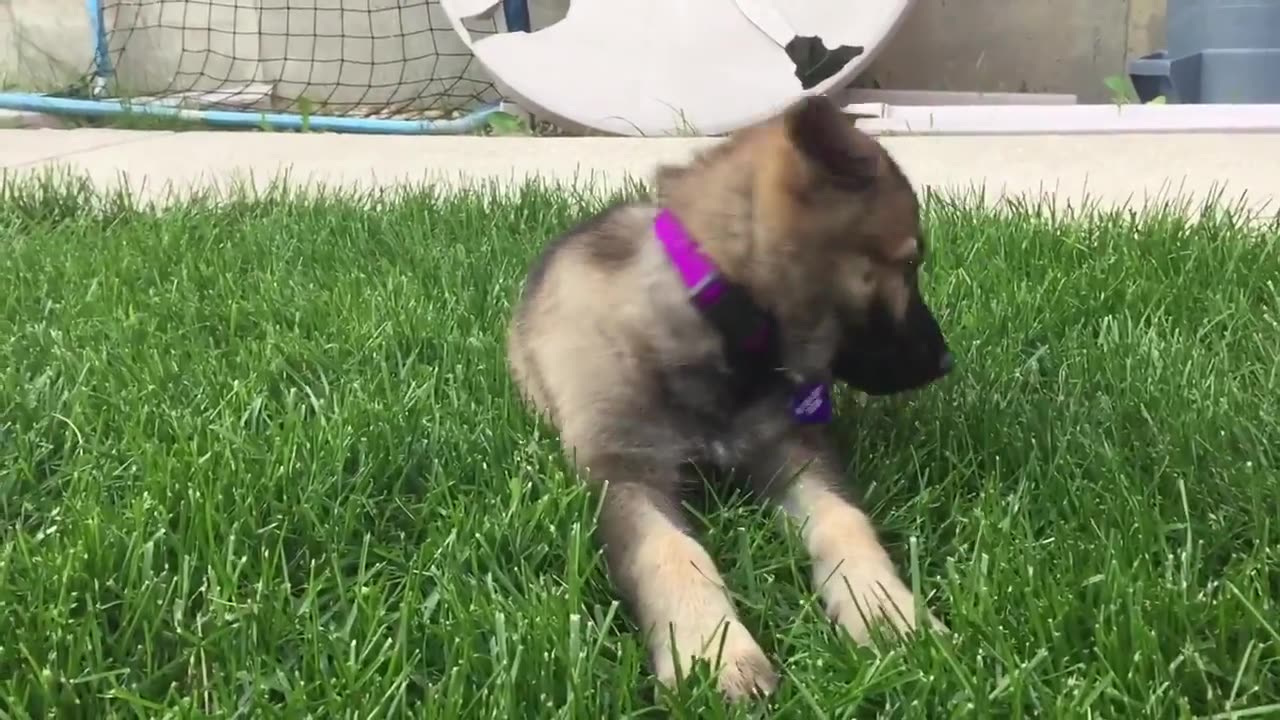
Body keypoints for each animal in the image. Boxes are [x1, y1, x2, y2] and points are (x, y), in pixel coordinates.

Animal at [504, 94, 957, 696]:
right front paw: (711, 651)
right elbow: (670, 549)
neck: (718, 326)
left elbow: (844, 519)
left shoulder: (790, 448)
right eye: (908, 263)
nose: (946, 362)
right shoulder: (624, 470)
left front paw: (887, 610)